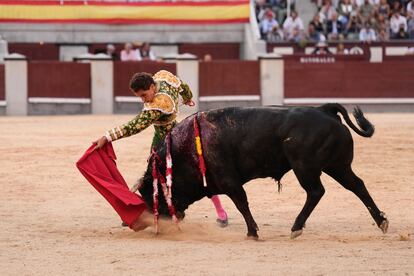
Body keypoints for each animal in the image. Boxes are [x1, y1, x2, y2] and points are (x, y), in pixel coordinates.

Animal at [136, 104, 388, 238]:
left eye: (149, 193)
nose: (143, 224)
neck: (186, 147)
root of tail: (324, 110)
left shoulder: (229, 181)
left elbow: (242, 203)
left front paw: (252, 232)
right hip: (337, 166)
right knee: (357, 185)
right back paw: (382, 221)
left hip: (305, 167)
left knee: (316, 191)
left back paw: (296, 227)